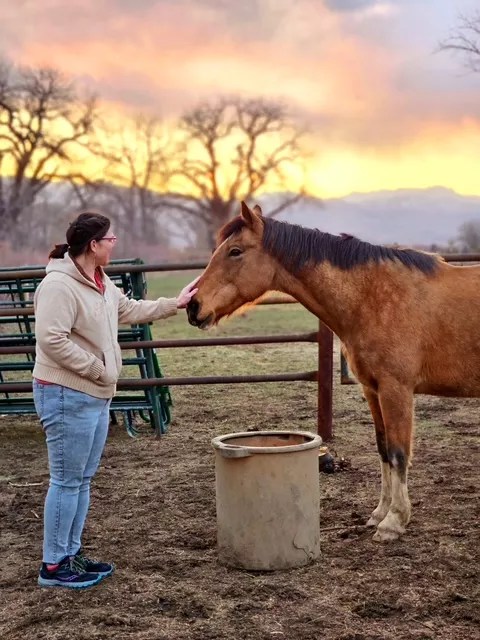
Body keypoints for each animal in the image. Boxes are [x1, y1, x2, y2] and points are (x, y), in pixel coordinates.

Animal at [187, 201, 480, 542]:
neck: (373, 296)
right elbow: (383, 449)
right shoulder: (372, 389)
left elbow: (398, 452)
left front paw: (394, 521)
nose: (193, 306)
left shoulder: (396, 389)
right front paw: (379, 513)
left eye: (235, 251)